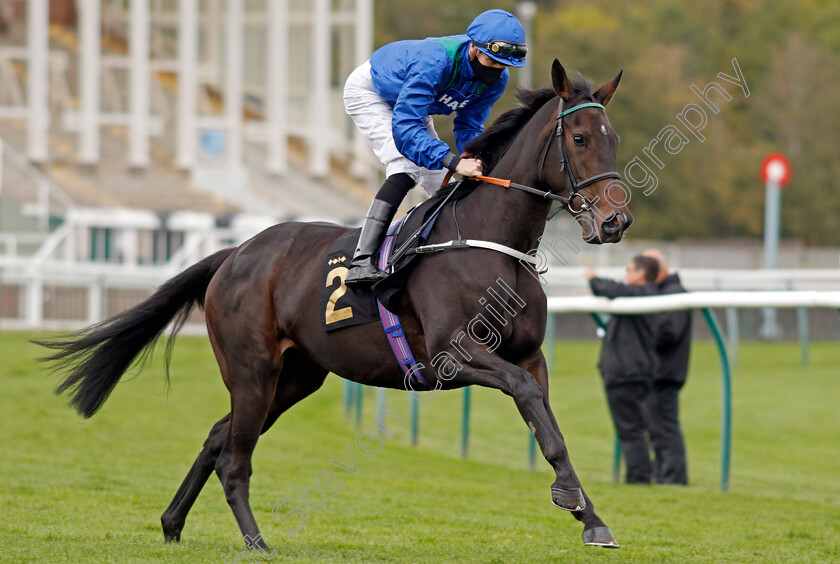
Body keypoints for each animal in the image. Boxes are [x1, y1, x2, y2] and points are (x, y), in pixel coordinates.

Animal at [39, 61, 632, 552]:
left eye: (614, 140)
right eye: (580, 138)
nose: (615, 221)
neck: (489, 241)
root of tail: (237, 252)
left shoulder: (529, 355)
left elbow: (548, 426)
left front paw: (590, 517)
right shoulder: (456, 354)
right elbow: (531, 400)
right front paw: (574, 500)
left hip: (295, 377)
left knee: (217, 437)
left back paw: (172, 524)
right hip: (253, 370)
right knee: (235, 456)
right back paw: (256, 541)